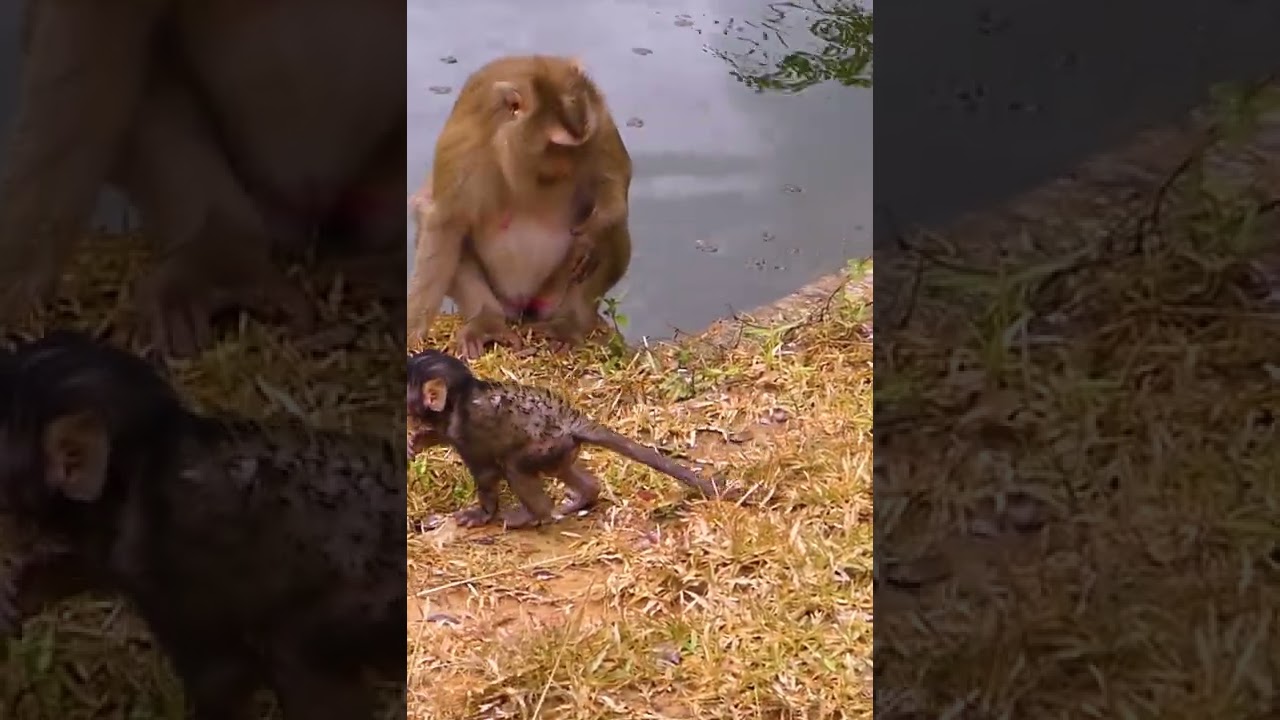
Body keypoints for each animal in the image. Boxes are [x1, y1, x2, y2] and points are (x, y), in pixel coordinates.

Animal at [406, 55, 634, 358]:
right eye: (557, 145)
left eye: (578, 144)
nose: (569, 164)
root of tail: (523, 307)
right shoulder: (464, 146)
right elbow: (445, 221)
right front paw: (413, 331)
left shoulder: (600, 122)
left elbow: (617, 181)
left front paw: (592, 235)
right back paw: (486, 320)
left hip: (552, 295)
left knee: (615, 229)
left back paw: (569, 322)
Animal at [406, 349, 733, 530]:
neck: (461, 398)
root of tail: (572, 419)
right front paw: (419, 441)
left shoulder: (468, 435)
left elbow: (486, 476)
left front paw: (481, 514)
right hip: (560, 449)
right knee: (569, 474)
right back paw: (583, 496)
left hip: (544, 446)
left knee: (515, 467)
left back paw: (532, 515)